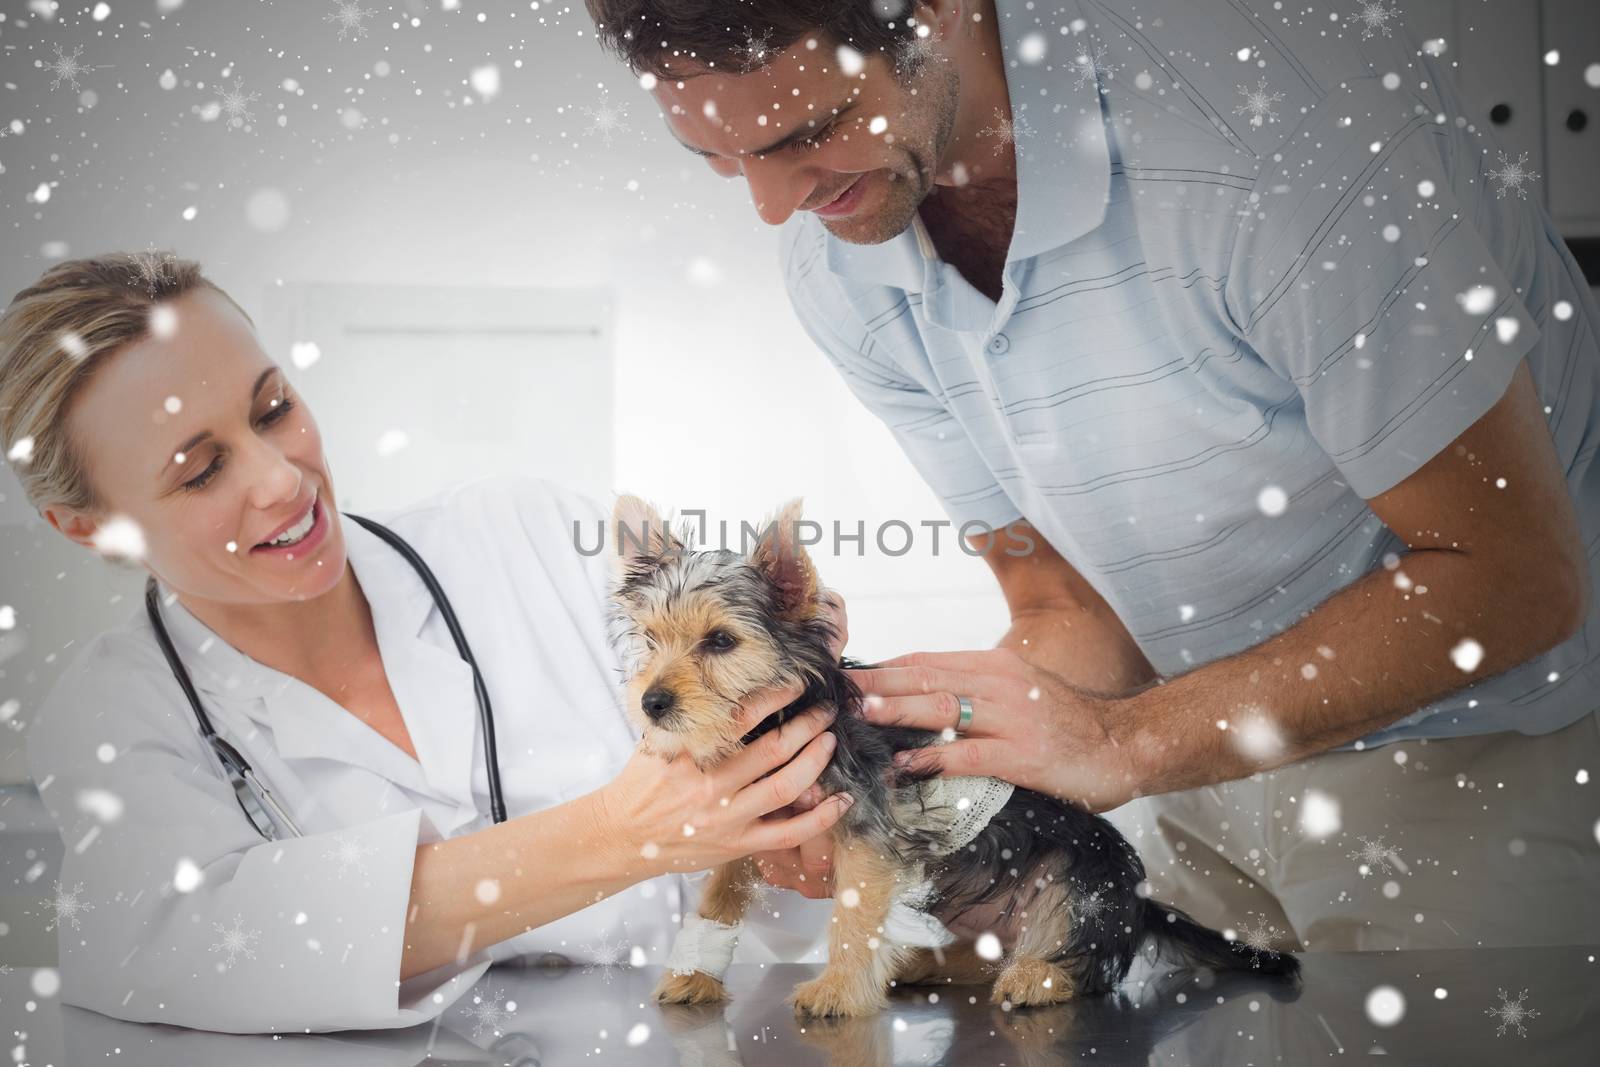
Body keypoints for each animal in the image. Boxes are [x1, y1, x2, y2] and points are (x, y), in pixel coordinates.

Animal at [604, 499, 1292, 1017]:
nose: (652, 702)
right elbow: (719, 893)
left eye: (721, 641)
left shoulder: (867, 832)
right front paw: (694, 973)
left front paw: (838, 991)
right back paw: (919, 965)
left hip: (1080, 887)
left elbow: (853, 917)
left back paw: (1034, 977)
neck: (774, 722)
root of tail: (1141, 902)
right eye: (650, 640)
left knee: (1080, 959)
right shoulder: (751, 820)